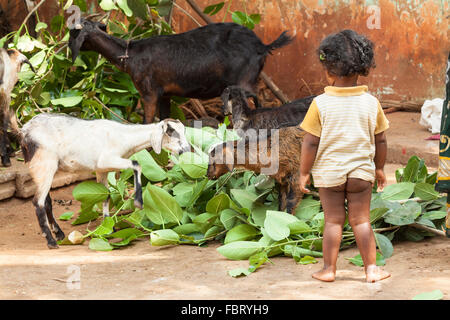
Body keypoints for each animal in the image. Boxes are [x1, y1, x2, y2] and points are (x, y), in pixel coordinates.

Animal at [16, 115, 190, 250]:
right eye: (171, 132)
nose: (187, 150)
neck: (124, 136)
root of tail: (24, 132)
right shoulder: (107, 160)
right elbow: (136, 164)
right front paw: (138, 202)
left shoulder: (101, 170)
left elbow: (106, 196)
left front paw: (108, 227)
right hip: (45, 164)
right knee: (38, 202)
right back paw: (51, 241)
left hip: (43, 169)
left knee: (46, 201)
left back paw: (58, 234)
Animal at [68, 18, 294, 123]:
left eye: (73, 33)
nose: (66, 46)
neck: (130, 54)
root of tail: (262, 46)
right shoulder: (165, 94)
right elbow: (163, 121)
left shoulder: (149, 92)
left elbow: (146, 122)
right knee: (259, 101)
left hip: (242, 81)